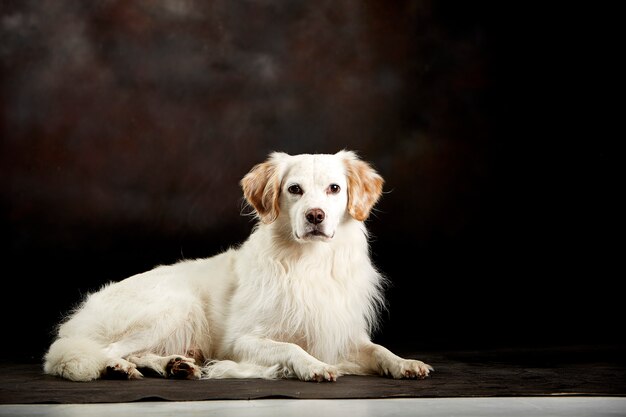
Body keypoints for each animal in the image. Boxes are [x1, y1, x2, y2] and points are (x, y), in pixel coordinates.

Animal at [44, 150, 432, 380]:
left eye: (335, 188)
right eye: (294, 189)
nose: (315, 216)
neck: (308, 263)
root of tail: (77, 319)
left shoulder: (342, 333)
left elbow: (378, 349)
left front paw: (404, 363)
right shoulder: (241, 340)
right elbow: (291, 347)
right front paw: (314, 366)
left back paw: (174, 364)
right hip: (174, 306)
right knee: (102, 351)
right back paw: (119, 367)